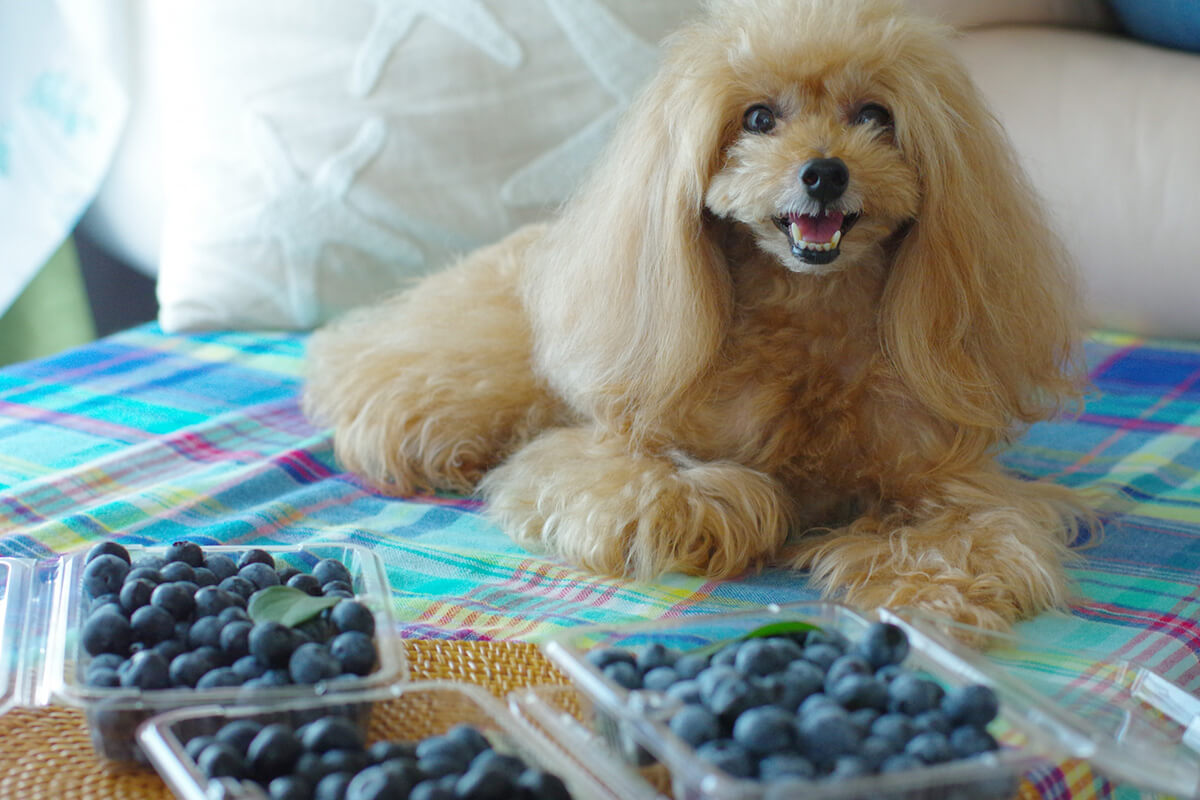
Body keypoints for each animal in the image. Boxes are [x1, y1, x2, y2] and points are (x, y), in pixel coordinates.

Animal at [304, 0, 1094, 633]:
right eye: (758, 118)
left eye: (874, 115)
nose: (824, 172)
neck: (808, 315)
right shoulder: (611, 452)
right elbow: (677, 489)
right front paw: (743, 509)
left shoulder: (950, 480)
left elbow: (971, 536)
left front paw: (930, 597)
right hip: (484, 370)